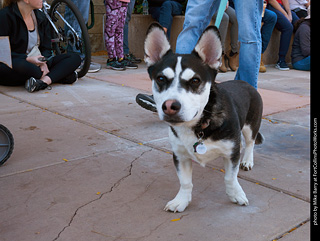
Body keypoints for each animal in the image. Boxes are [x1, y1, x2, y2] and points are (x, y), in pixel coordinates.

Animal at [144, 23, 262, 212]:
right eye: (161, 79)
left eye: (195, 81)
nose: (169, 106)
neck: (198, 125)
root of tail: (246, 83)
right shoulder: (180, 156)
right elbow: (185, 182)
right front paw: (182, 200)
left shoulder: (232, 152)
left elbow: (230, 177)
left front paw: (235, 194)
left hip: (251, 126)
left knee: (250, 143)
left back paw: (247, 161)